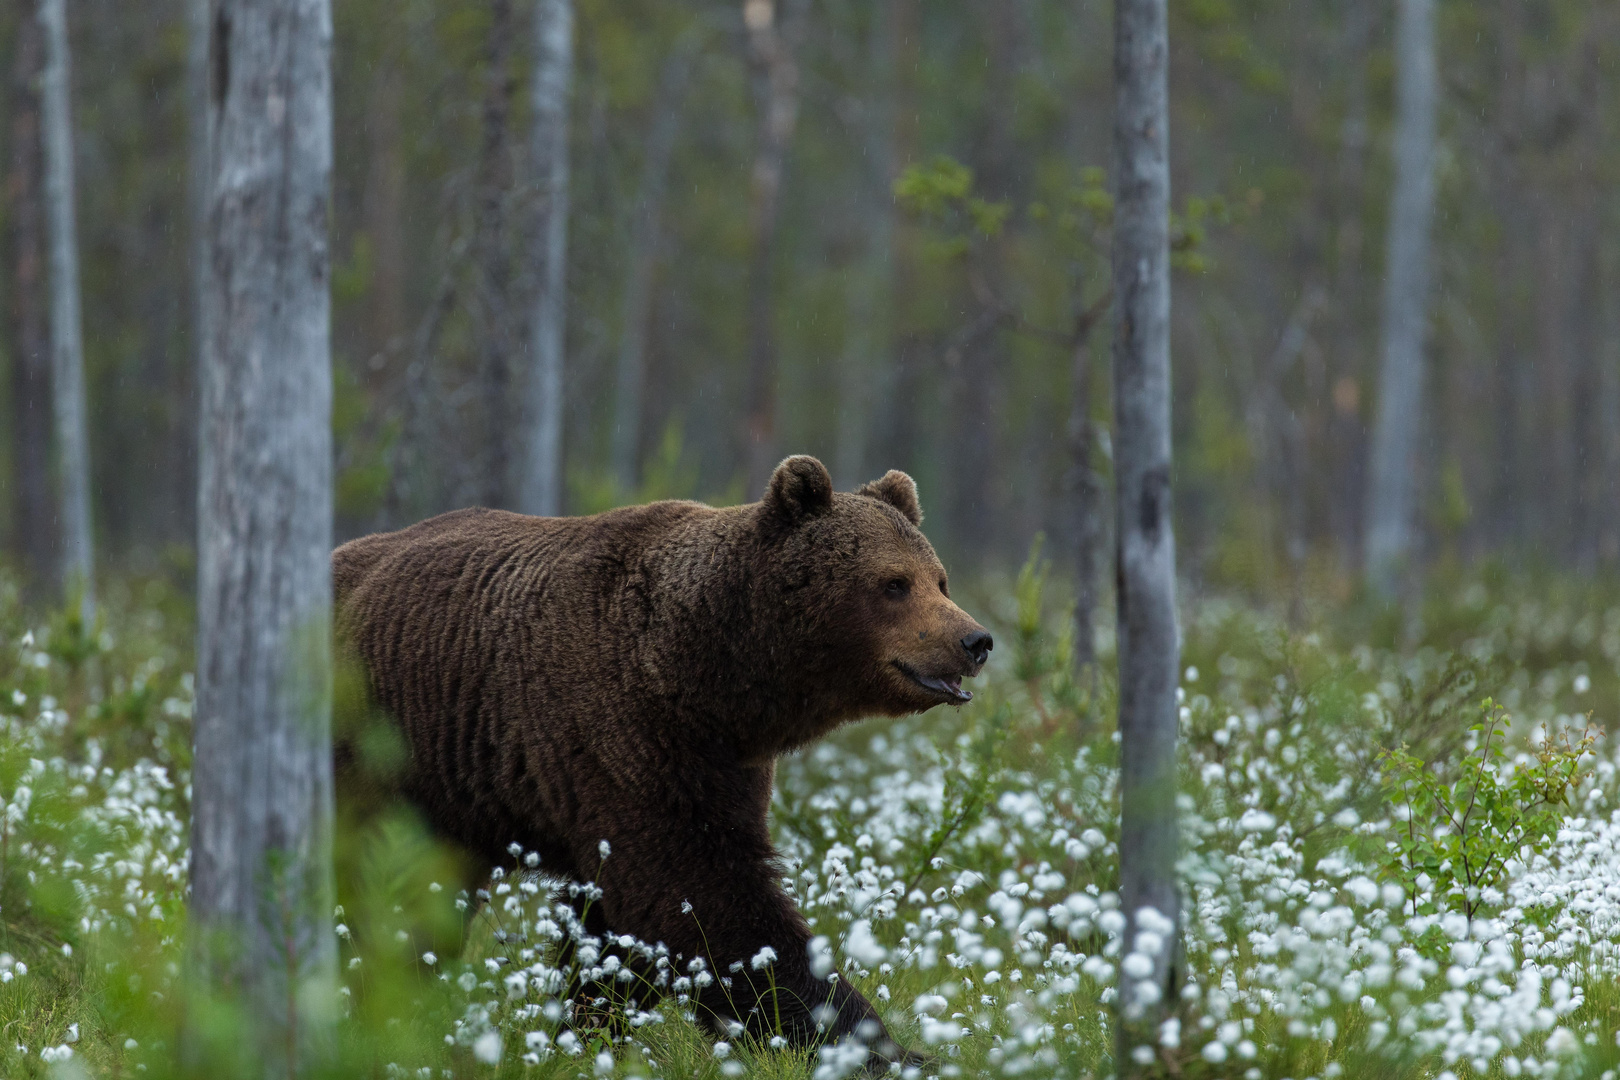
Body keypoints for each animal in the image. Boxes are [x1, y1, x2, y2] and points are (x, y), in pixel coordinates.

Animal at [332, 453, 984, 1062]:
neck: (710, 682)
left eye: (941, 580)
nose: (975, 640)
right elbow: (702, 901)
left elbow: (615, 926)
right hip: (377, 751)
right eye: (894, 583)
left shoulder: (720, 766)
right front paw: (871, 1044)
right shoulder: (619, 734)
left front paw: (584, 1028)